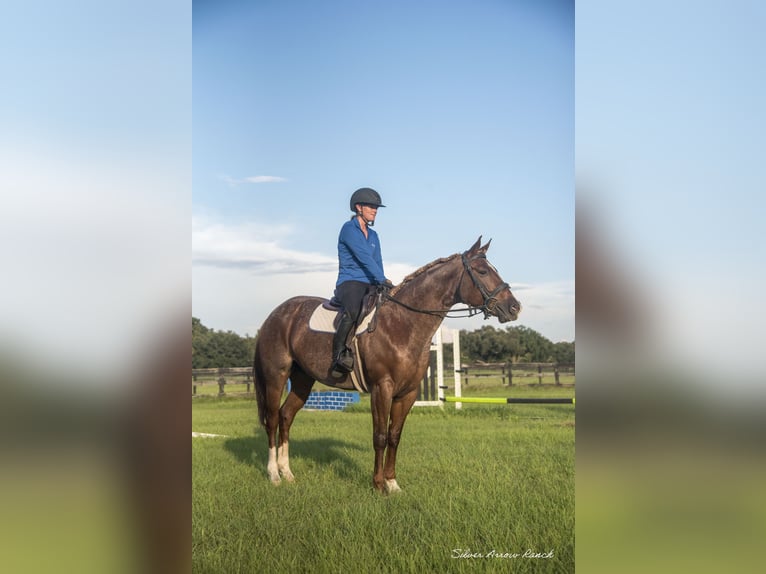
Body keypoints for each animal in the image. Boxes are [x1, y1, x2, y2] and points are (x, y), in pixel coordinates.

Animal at [252, 238, 520, 496]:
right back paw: (274, 474)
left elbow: (394, 436)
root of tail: (274, 315)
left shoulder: (407, 393)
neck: (402, 323)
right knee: (273, 419)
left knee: (286, 416)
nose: (515, 307)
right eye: (482, 271)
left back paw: (287, 473)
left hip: (302, 381)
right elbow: (380, 436)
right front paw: (378, 484)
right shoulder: (382, 389)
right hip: (276, 377)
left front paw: (392, 483)